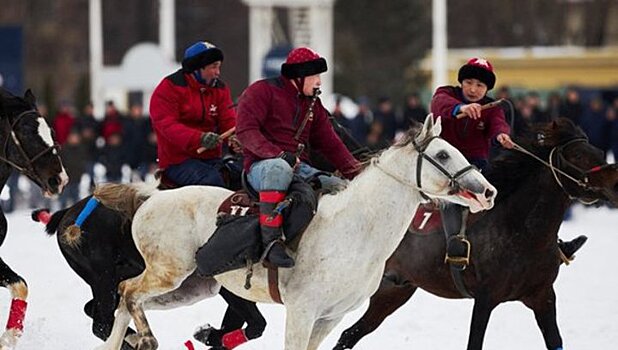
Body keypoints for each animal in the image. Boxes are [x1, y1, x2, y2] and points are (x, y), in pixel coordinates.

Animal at [92, 115, 496, 350]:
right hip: (168, 273)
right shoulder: (303, 312)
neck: (357, 230)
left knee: (126, 301)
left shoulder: (331, 317)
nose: (487, 191)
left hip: (189, 288)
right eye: (442, 155)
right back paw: (146, 338)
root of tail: (150, 197)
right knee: (128, 292)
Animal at [332, 118, 616, 350]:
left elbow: (555, 341)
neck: (520, 230)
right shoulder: (485, 299)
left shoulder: (543, 296)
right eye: (577, 155)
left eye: (599, 152)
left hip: (393, 291)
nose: (614, 183)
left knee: (350, 335)